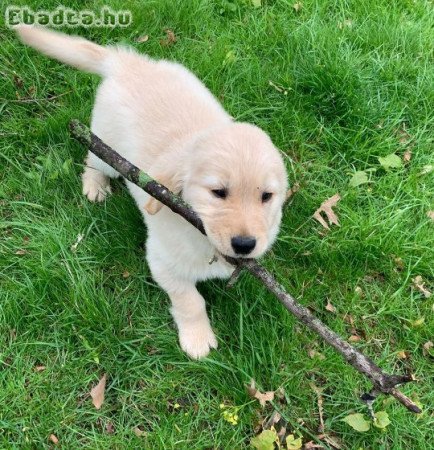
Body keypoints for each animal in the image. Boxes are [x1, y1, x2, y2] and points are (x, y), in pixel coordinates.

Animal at [16, 27, 288, 358]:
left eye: (266, 197)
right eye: (218, 192)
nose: (245, 245)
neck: (201, 236)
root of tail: (126, 61)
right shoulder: (161, 261)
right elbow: (190, 300)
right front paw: (197, 338)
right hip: (107, 146)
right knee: (92, 156)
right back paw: (95, 185)